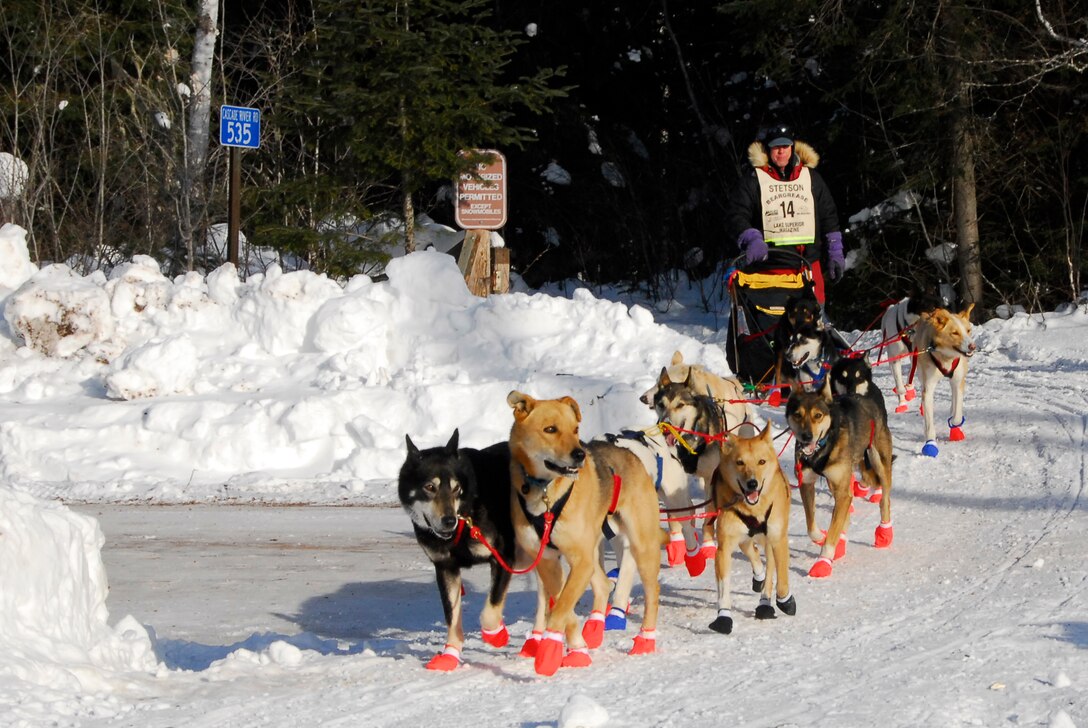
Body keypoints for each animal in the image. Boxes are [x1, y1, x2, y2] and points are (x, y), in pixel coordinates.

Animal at [400, 428, 517, 674]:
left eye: (456, 488)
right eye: (430, 487)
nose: (449, 521)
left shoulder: (503, 557)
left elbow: (490, 610)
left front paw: (496, 635)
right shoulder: (446, 568)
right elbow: (452, 616)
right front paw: (450, 654)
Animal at [507, 391, 661, 674]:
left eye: (575, 429)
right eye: (550, 429)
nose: (579, 454)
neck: (546, 496)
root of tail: (629, 452)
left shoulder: (579, 560)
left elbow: (561, 608)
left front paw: (550, 651)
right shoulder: (548, 561)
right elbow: (562, 605)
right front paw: (576, 647)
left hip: (641, 546)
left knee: (651, 591)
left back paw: (646, 639)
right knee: (602, 584)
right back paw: (594, 628)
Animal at [709, 422, 796, 631]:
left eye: (761, 461)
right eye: (740, 462)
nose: (752, 483)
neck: (753, 509)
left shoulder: (778, 540)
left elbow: (781, 578)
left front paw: (785, 601)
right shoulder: (724, 548)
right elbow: (724, 587)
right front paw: (723, 617)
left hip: (769, 541)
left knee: (770, 570)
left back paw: (765, 604)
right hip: (742, 539)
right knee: (753, 554)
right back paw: (758, 578)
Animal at [787, 380, 896, 578]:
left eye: (818, 415)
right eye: (797, 415)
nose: (807, 436)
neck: (823, 447)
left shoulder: (841, 490)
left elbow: (832, 533)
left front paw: (823, 560)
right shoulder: (806, 483)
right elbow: (811, 526)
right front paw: (821, 537)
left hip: (879, 461)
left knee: (884, 500)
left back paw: (885, 533)